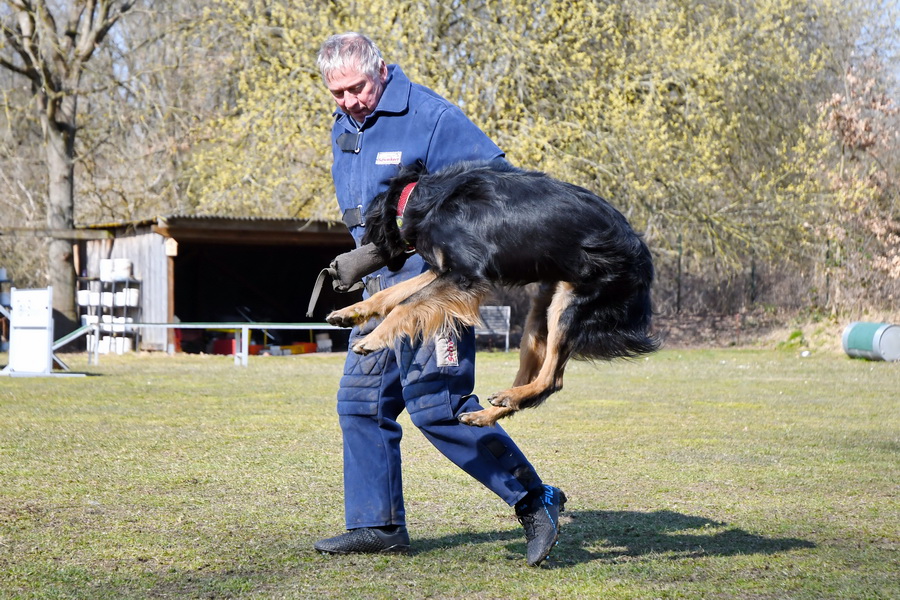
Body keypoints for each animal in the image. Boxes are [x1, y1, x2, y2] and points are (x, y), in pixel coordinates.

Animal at [326, 157, 656, 424]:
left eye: (367, 228)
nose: (348, 260)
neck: (424, 200)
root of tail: (643, 259)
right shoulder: (444, 271)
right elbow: (394, 294)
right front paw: (351, 312)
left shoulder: (463, 276)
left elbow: (407, 302)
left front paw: (372, 339)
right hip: (541, 316)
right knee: (538, 374)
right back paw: (489, 412)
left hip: (569, 306)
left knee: (552, 379)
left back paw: (509, 397)